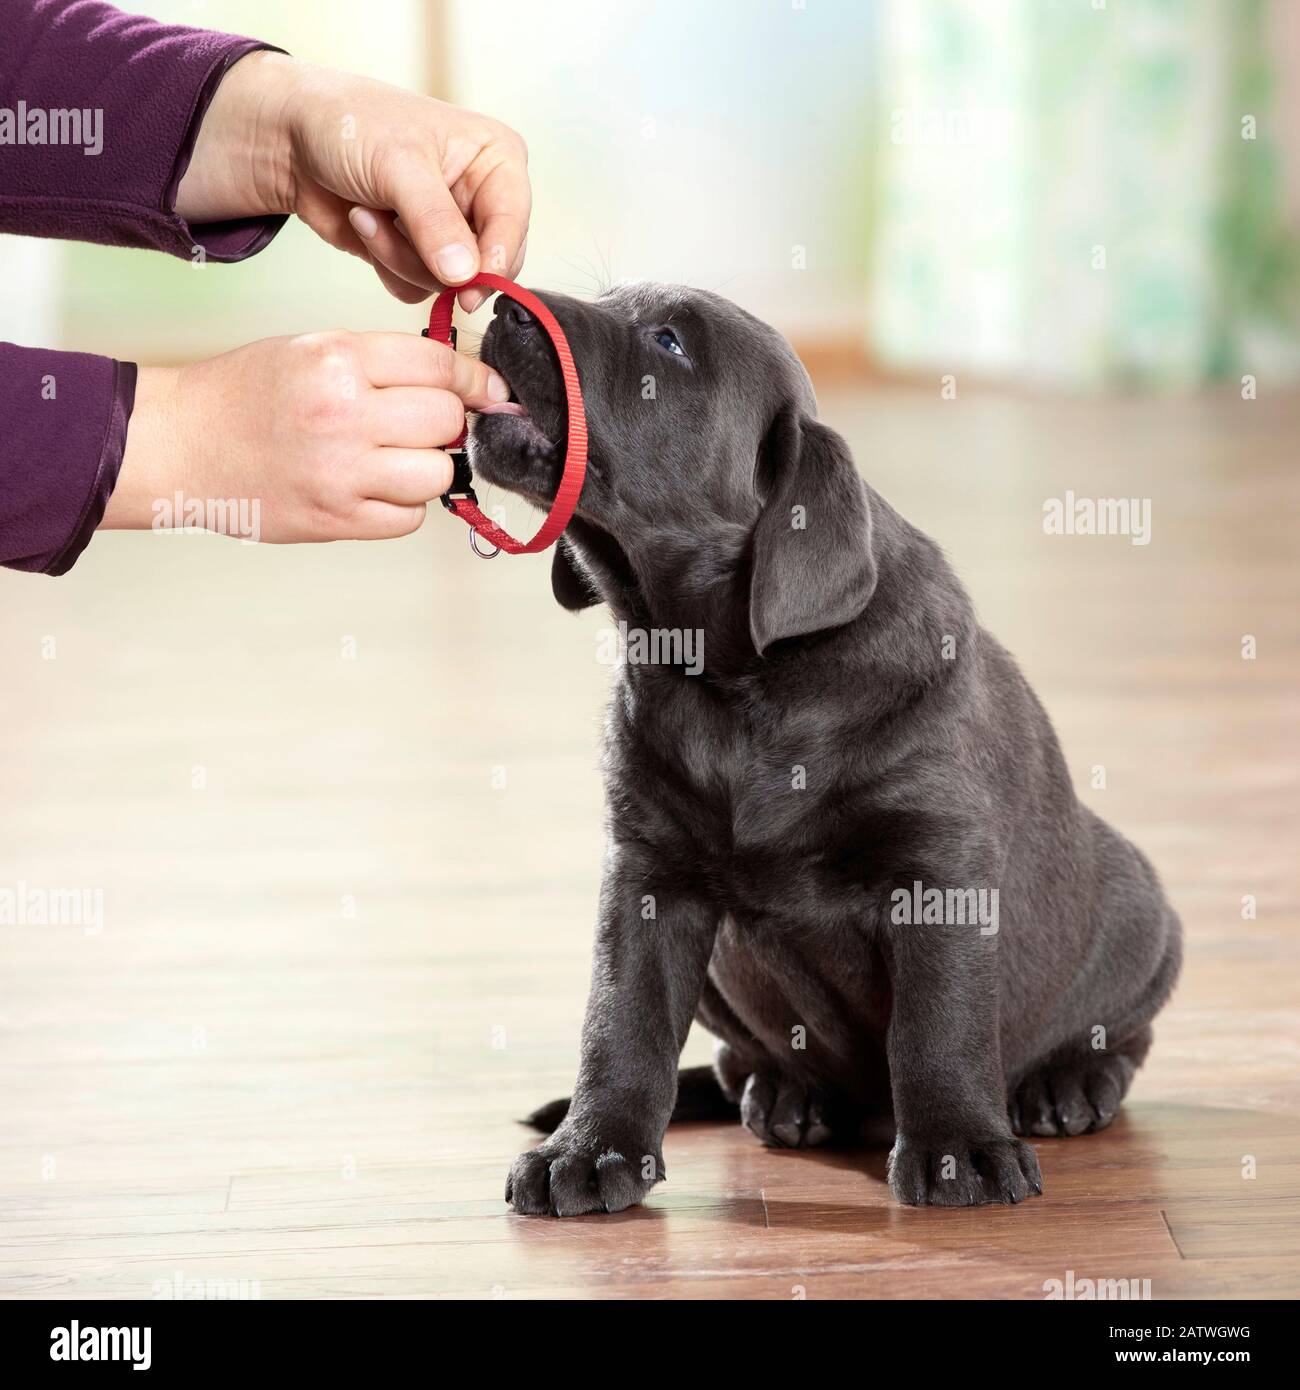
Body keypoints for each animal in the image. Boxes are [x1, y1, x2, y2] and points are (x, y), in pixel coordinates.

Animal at [472, 279, 1184, 1206]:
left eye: (668, 342)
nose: (499, 306)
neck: (731, 675)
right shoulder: (647, 872)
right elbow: (618, 1020)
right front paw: (588, 1152)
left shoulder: (938, 869)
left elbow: (938, 1022)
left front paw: (960, 1149)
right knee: (737, 1063)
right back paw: (789, 1094)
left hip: (1141, 913)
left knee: (1122, 1038)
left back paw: (1064, 1084)